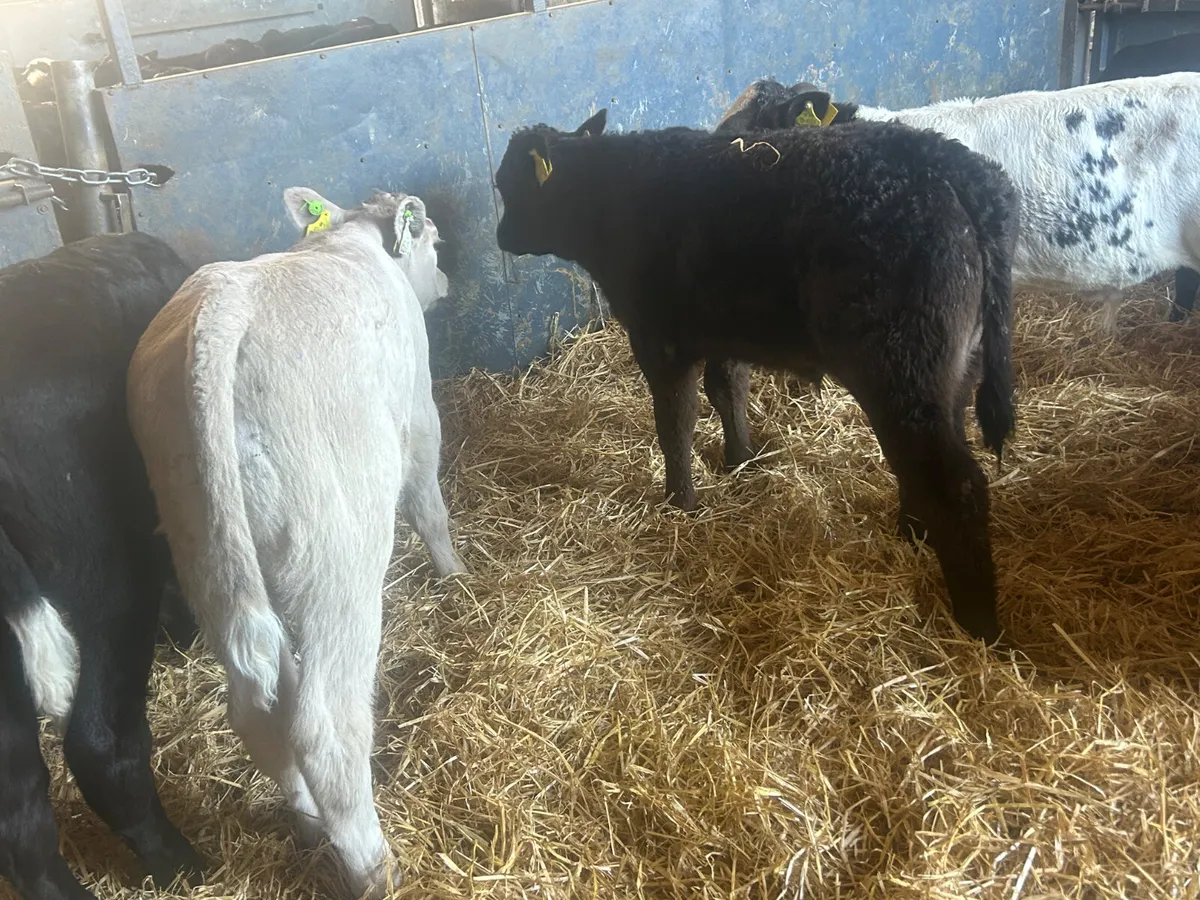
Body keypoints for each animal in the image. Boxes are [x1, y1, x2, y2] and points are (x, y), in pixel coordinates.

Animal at [127, 187, 466, 898]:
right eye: (434, 243)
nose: (447, 281)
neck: (345, 240)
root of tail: (222, 312)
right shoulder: (419, 411)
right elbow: (429, 504)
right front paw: (457, 576)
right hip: (337, 559)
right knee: (324, 726)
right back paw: (373, 868)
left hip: (208, 554)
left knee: (259, 710)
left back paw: (310, 827)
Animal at [493, 108, 1020, 643]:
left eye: (507, 183)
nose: (502, 237)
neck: (610, 196)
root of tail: (951, 164)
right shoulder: (724, 334)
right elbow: (728, 391)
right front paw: (740, 460)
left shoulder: (660, 339)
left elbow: (675, 420)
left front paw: (679, 502)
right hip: (952, 372)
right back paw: (912, 532)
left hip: (902, 367)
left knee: (954, 484)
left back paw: (977, 624)